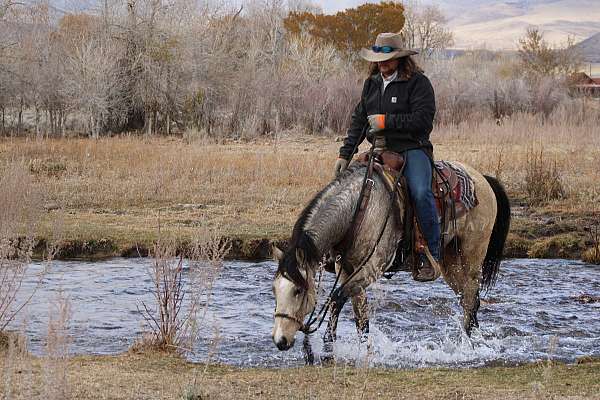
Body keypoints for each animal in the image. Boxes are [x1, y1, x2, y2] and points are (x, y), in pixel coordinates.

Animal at [272, 151, 510, 362]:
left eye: (298, 290)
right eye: (275, 290)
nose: (280, 341)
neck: (358, 209)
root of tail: (482, 179)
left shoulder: (372, 268)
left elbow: (336, 300)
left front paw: (323, 350)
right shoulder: (347, 269)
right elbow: (360, 316)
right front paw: (365, 351)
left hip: (471, 258)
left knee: (470, 301)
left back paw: (468, 347)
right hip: (450, 262)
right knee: (468, 300)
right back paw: (473, 343)